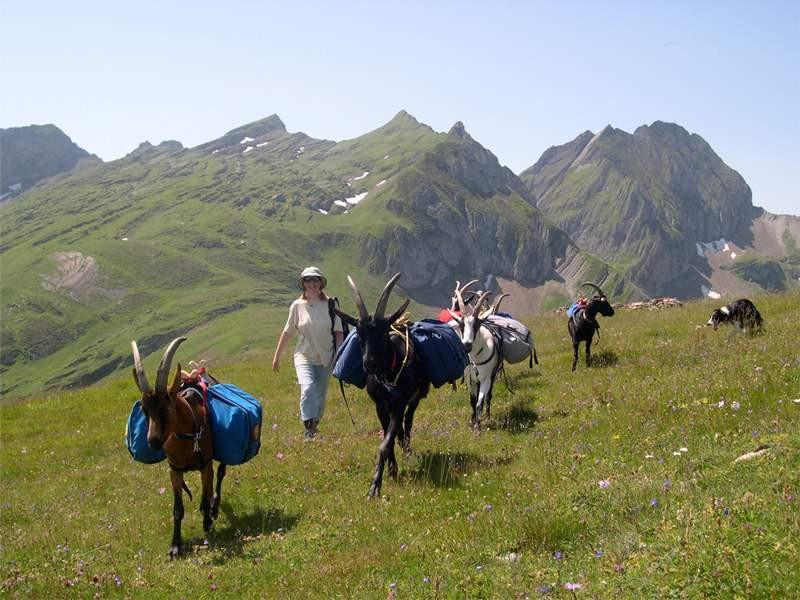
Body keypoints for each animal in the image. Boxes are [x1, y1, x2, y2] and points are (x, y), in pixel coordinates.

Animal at [130, 338, 227, 556]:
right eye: (143, 409)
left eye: (166, 407)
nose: (153, 441)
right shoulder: (174, 471)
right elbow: (177, 510)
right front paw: (175, 545)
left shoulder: (205, 465)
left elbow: (205, 494)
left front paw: (207, 522)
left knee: (219, 474)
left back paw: (214, 508)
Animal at [334, 272, 432, 496]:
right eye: (359, 333)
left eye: (383, 332)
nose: (369, 363)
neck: (388, 373)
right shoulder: (380, 406)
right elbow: (388, 436)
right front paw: (392, 470)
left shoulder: (398, 404)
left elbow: (386, 443)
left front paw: (375, 486)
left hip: (416, 398)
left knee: (408, 421)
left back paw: (408, 449)